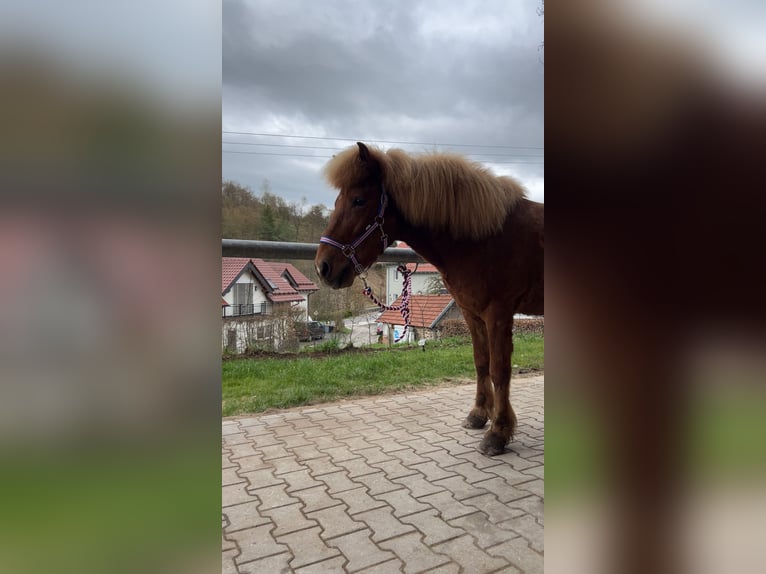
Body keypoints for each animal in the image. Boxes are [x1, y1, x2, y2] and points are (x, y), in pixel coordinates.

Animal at [315, 142, 543, 455]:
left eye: (359, 200)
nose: (323, 267)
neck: (483, 238)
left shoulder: (498, 313)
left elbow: (499, 370)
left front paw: (498, 433)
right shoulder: (471, 313)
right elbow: (481, 362)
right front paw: (478, 415)